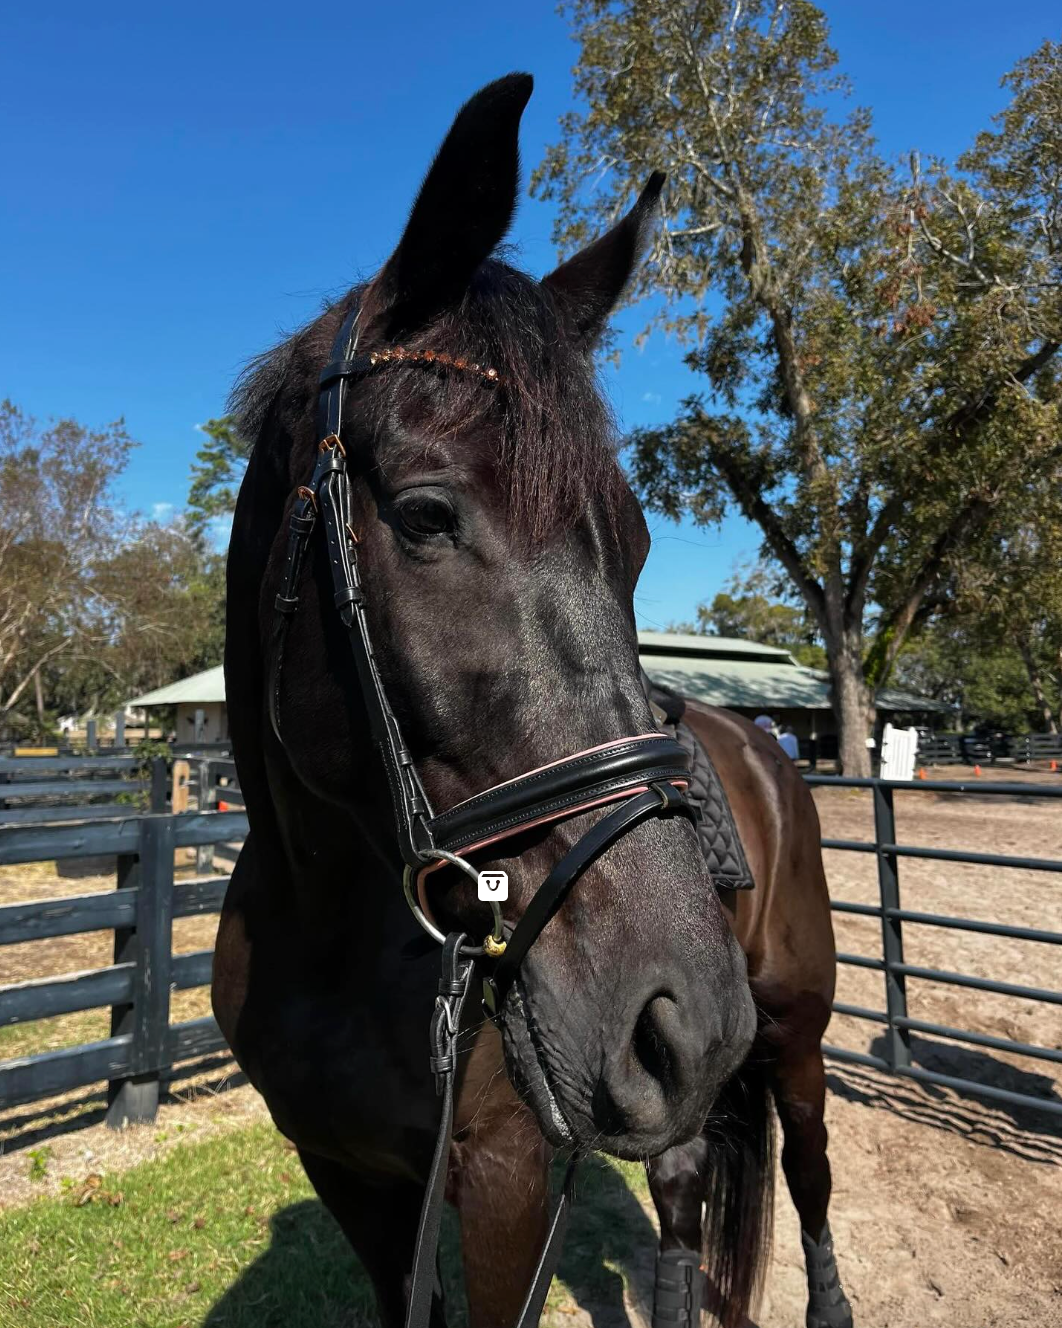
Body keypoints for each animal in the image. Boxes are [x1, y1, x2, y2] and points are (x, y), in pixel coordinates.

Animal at [215, 75, 854, 1328]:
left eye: (640, 543)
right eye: (424, 515)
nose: (685, 1012)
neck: (330, 933)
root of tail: (766, 745)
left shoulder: (508, 1179)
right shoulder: (354, 1173)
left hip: (792, 1028)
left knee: (807, 1164)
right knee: (683, 1181)